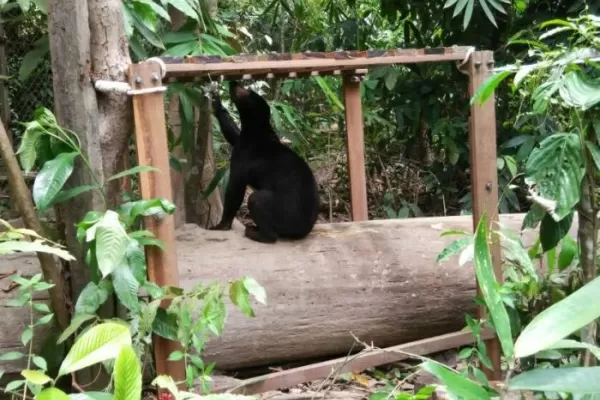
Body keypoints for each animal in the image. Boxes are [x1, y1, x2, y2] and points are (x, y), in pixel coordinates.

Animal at [207, 80, 318, 244]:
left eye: (247, 91)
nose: (233, 81)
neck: (258, 129)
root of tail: (303, 231)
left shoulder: (239, 165)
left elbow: (233, 194)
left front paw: (221, 226)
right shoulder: (240, 139)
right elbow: (231, 132)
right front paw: (216, 103)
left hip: (263, 202)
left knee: (271, 233)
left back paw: (252, 231)